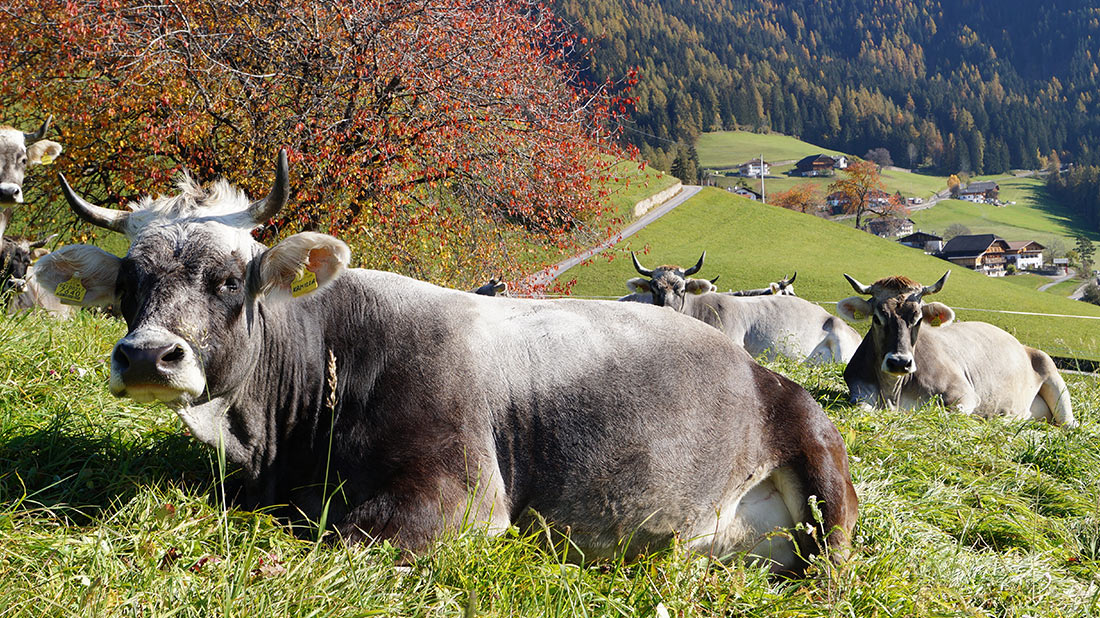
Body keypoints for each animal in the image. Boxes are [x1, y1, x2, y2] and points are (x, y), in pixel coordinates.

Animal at [831, 272, 1073, 422]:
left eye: (918, 319)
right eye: (877, 318)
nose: (899, 362)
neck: (893, 393)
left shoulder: (965, 394)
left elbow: (949, 413)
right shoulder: (859, 390)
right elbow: (862, 407)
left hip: (1055, 380)